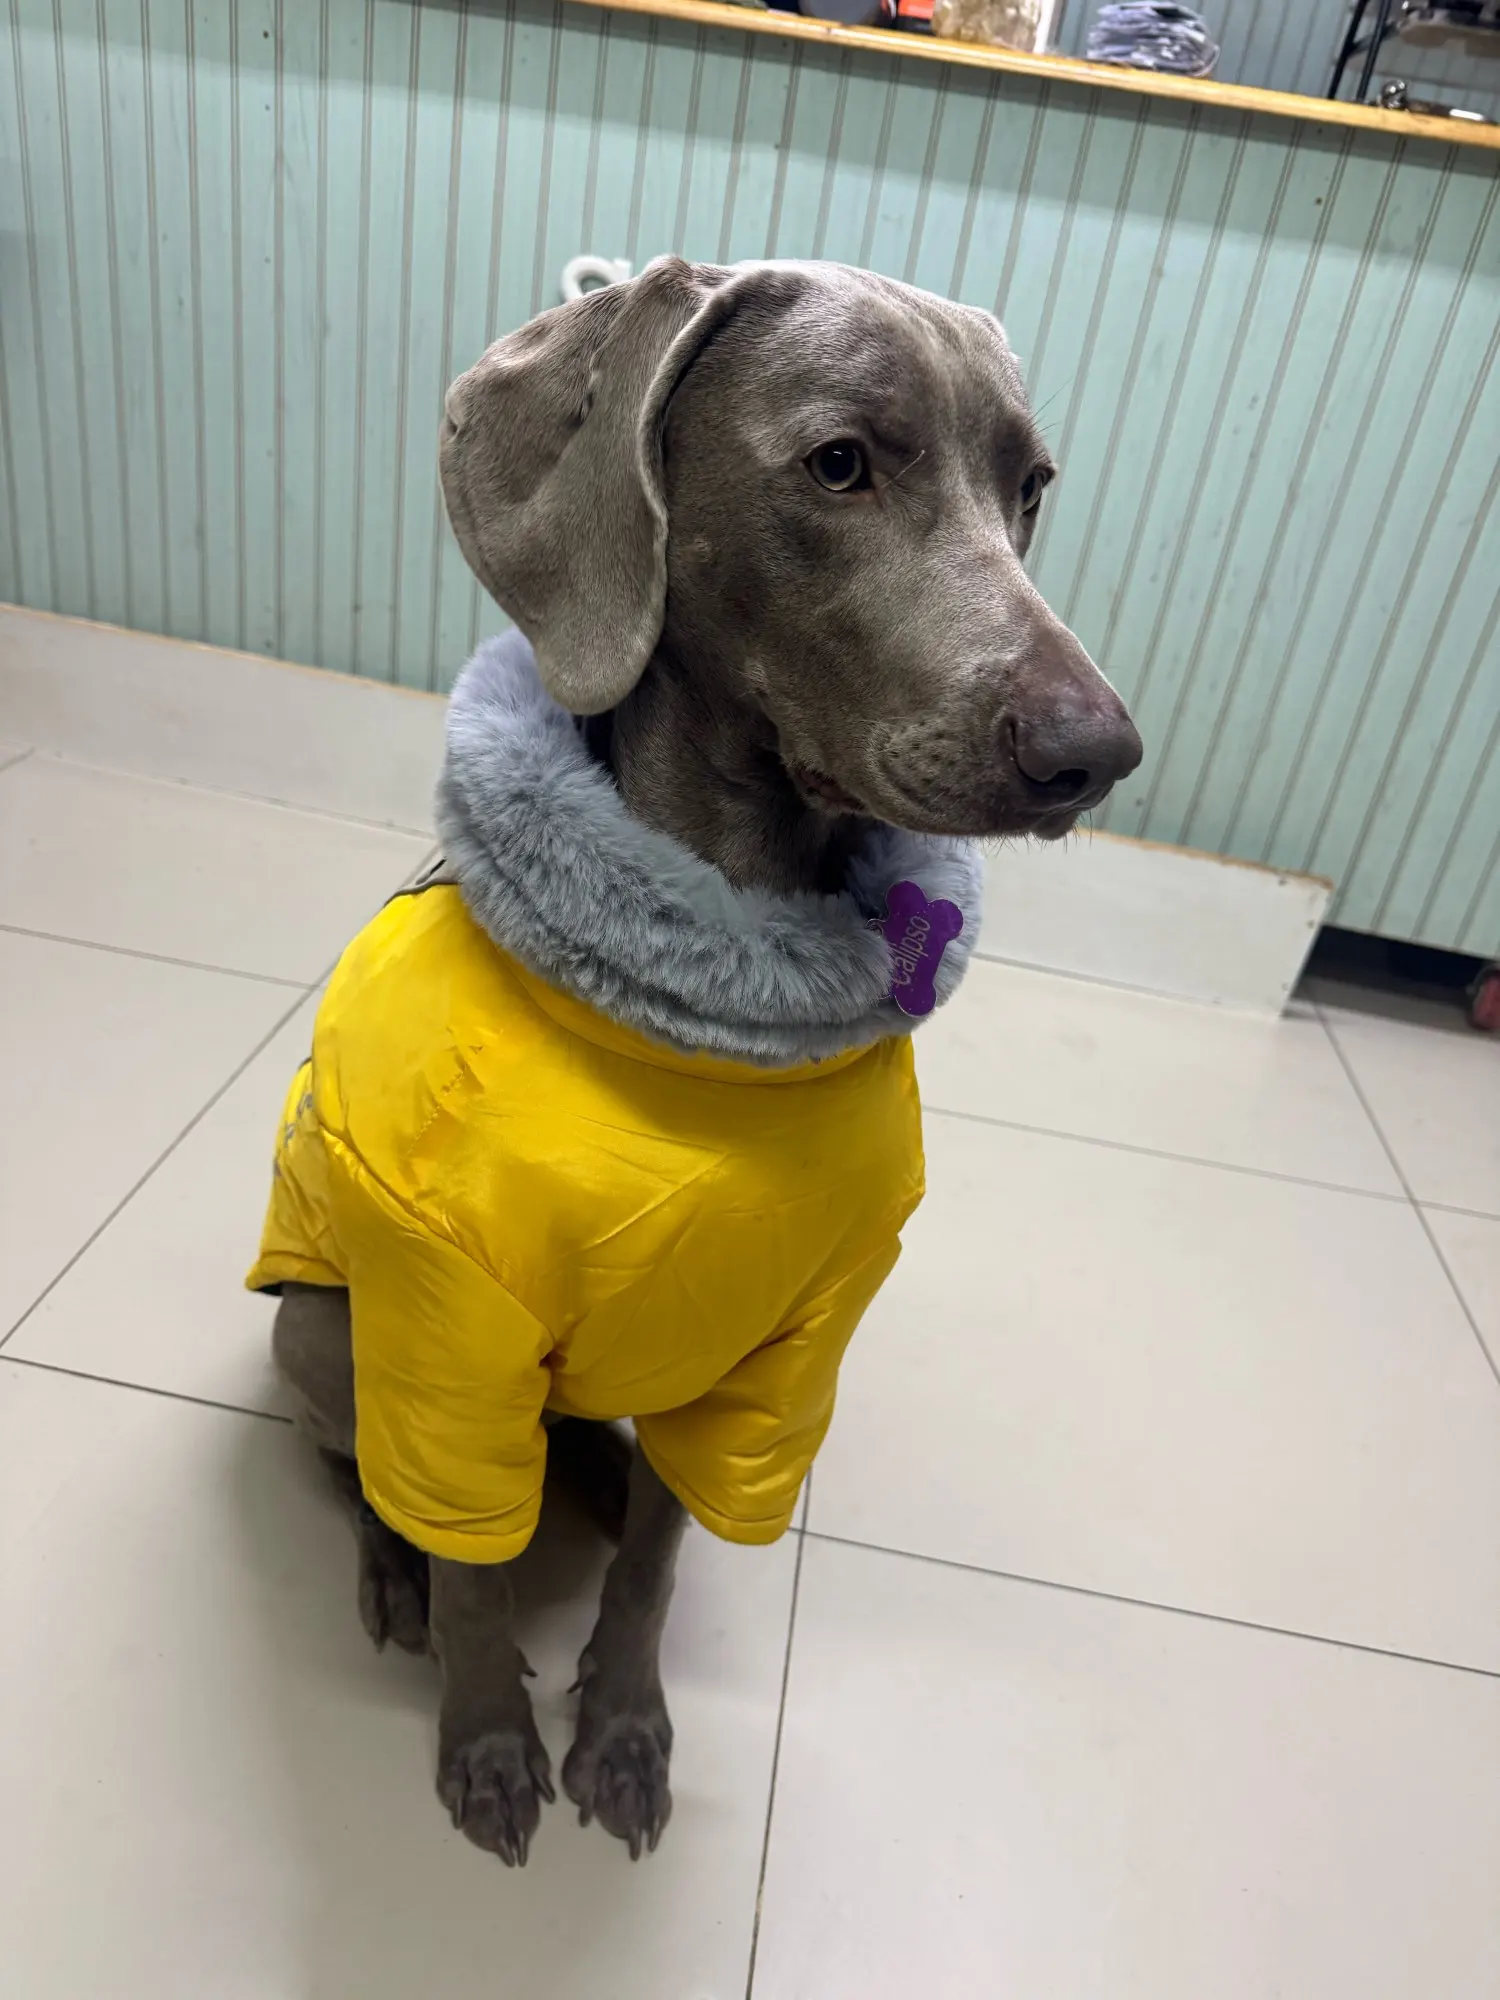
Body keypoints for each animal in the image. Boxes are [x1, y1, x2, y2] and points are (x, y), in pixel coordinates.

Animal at [256, 257, 1141, 1867]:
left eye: (1031, 484)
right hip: (322, 1333)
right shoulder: (446, 1326)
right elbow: (474, 1567)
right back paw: (393, 1567)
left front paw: (621, 1732)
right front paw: (489, 1742)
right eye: (841, 463)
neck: (701, 1027)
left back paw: (602, 1469)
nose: (1096, 751)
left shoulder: (770, 1348)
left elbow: (660, 1566)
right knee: (374, 1477)